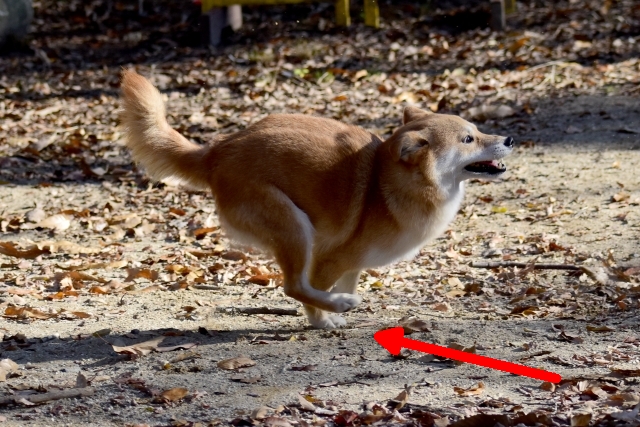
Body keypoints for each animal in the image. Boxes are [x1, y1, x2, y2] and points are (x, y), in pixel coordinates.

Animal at [117, 70, 512, 330]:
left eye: (476, 130)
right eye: (468, 139)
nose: (509, 139)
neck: (388, 185)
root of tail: (218, 151)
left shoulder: (352, 265)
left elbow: (344, 282)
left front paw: (334, 313)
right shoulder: (328, 259)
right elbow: (315, 291)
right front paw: (325, 317)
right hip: (294, 227)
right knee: (293, 286)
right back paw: (338, 305)